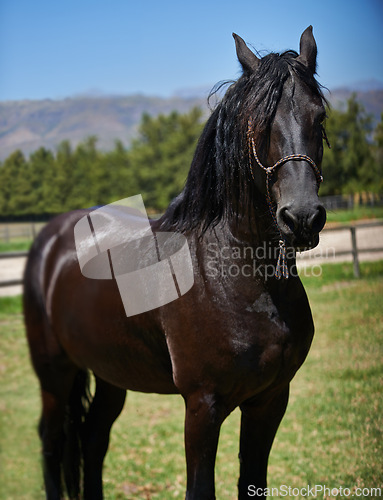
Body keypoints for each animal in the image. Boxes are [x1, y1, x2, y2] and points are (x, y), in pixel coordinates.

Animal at [24, 27, 328, 500]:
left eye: (321, 118)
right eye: (258, 125)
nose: (302, 218)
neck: (241, 280)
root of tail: (51, 239)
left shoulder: (270, 400)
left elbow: (253, 481)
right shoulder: (202, 406)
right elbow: (199, 488)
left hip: (110, 372)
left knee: (92, 439)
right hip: (54, 374)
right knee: (52, 443)